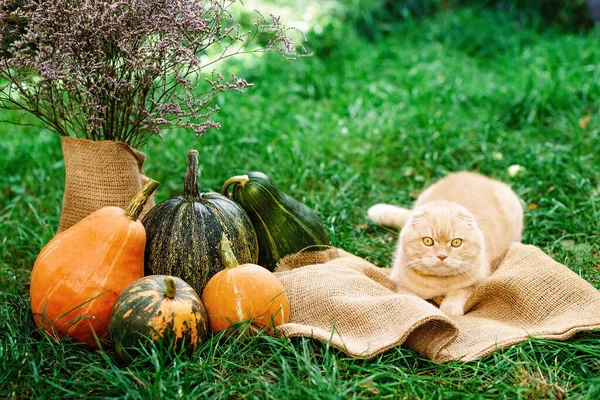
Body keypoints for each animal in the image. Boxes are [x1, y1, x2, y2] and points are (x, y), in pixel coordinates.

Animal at [368, 172, 524, 316]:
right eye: (428, 241)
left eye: (456, 242)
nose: (442, 256)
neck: (437, 284)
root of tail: (478, 176)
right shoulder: (401, 284)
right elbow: (412, 299)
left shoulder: (477, 282)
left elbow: (458, 292)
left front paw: (450, 309)